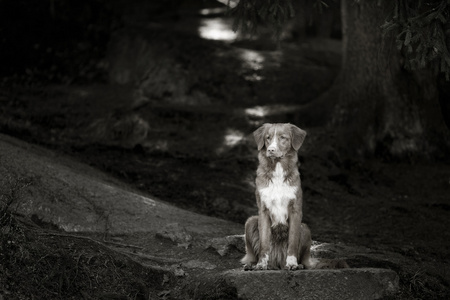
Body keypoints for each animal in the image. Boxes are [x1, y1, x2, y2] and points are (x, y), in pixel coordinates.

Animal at [241, 123, 350, 270]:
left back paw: (299, 265)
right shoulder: (263, 210)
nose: (270, 150)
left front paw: (292, 264)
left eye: (283, 138)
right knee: (253, 254)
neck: (278, 170)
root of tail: (277, 262)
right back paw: (252, 265)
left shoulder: (295, 210)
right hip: (251, 221)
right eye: (268, 138)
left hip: (305, 229)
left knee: (303, 259)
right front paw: (260, 265)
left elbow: (292, 241)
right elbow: (264, 243)